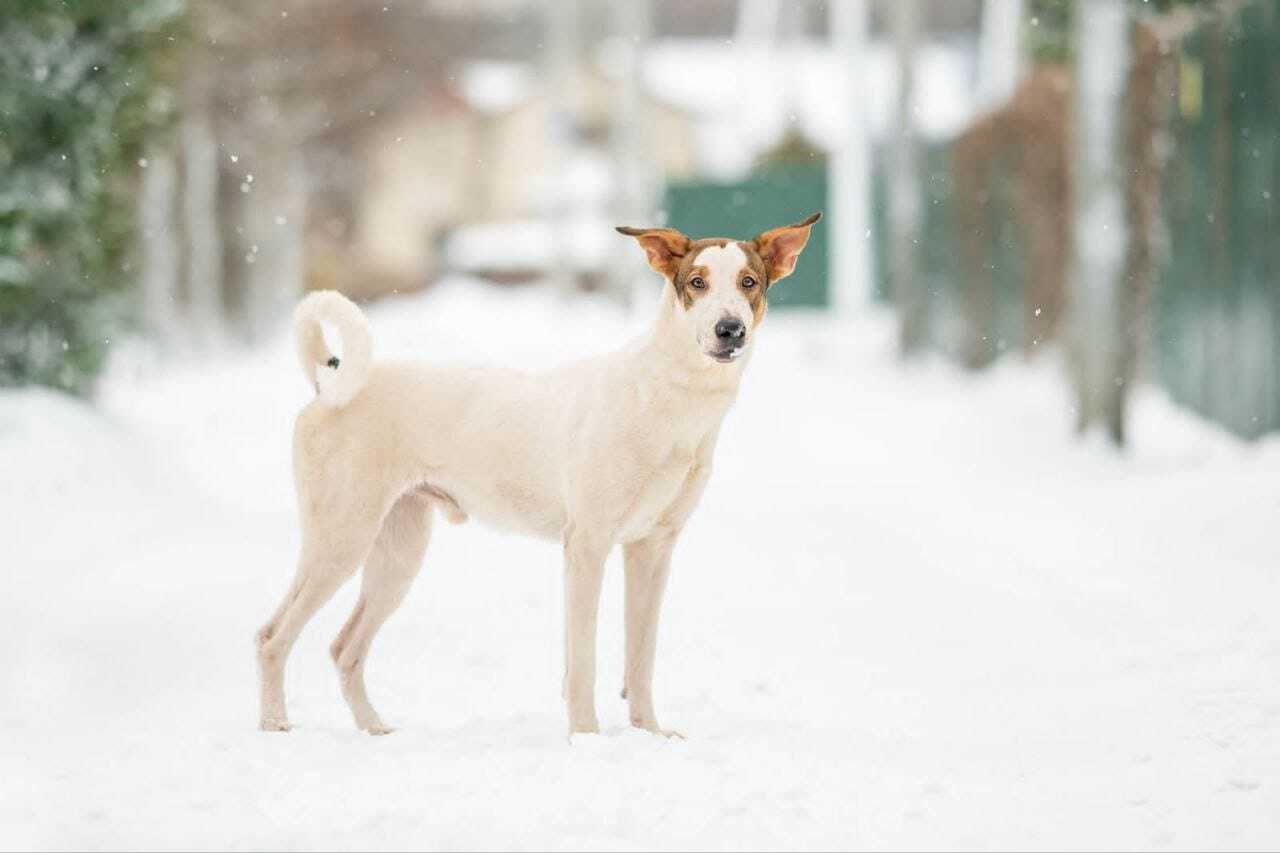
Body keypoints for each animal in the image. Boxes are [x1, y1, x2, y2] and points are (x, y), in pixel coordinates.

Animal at [254, 211, 824, 732]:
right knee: (272, 637)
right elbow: (584, 661)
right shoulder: (588, 546)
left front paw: (649, 735)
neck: (670, 396)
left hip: (397, 556)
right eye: (697, 283)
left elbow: (641, 656)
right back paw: (276, 725)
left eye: (749, 283)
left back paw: (375, 730)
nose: (730, 330)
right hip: (340, 539)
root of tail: (329, 382)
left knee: (343, 646)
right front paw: (587, 738)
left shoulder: (653, 549)